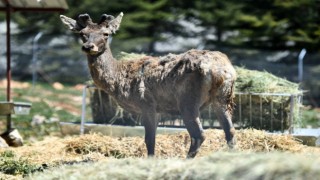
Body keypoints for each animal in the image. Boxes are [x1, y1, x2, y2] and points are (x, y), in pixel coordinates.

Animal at [60, 11, 236, 158]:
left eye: (106, 33)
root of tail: (221, 70)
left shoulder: (146, 104)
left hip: (188, 101)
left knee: (199, 135)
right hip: (223, 98)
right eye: (82, 34)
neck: (118, 79)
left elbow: (149, 140)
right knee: (230, 131)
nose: (88, 47)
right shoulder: (157, 109)